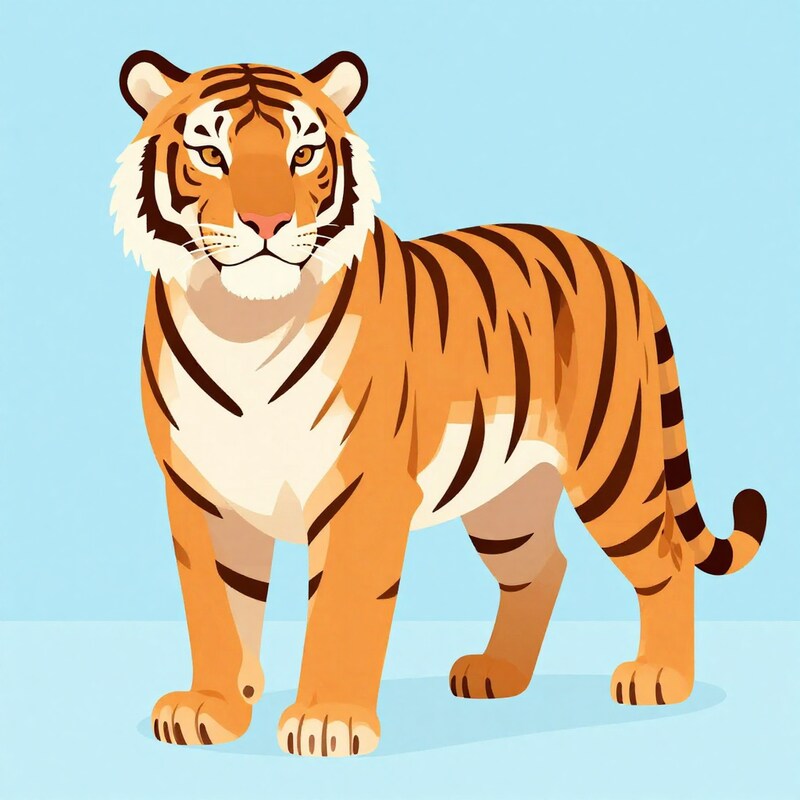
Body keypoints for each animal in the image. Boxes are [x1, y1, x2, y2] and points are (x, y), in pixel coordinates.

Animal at [111, 49, 767, 757]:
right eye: (211, 153)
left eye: (303, 153)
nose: (267, 224)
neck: (242, 324)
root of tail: (623, 266)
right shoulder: (201, 492)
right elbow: (215, 607)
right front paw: (212, 708)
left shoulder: (363, 488)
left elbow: (342, 604)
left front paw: (328, 720)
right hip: (507, 497)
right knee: (541, 567)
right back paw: (498, 672)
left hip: (615, 467)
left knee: (667, 561)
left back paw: (658, 676)